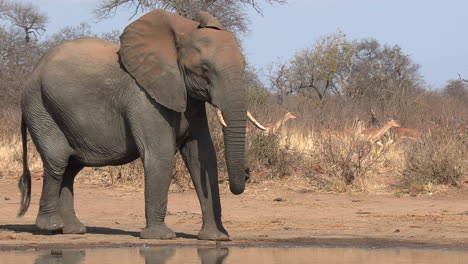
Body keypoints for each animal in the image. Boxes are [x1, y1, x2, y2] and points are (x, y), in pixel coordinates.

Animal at [16, 9, 264, 241]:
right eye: (204, 69)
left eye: (244, 66)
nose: (247, 174)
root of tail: (34, 71)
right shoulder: (143, 96)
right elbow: (161, 153)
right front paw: (161, 237)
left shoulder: (190, 100)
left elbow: (202, 155)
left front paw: (216, 238)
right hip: (39, 105)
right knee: (58, 160)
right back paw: (51, 227)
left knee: (70, 166)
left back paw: (73, 230)